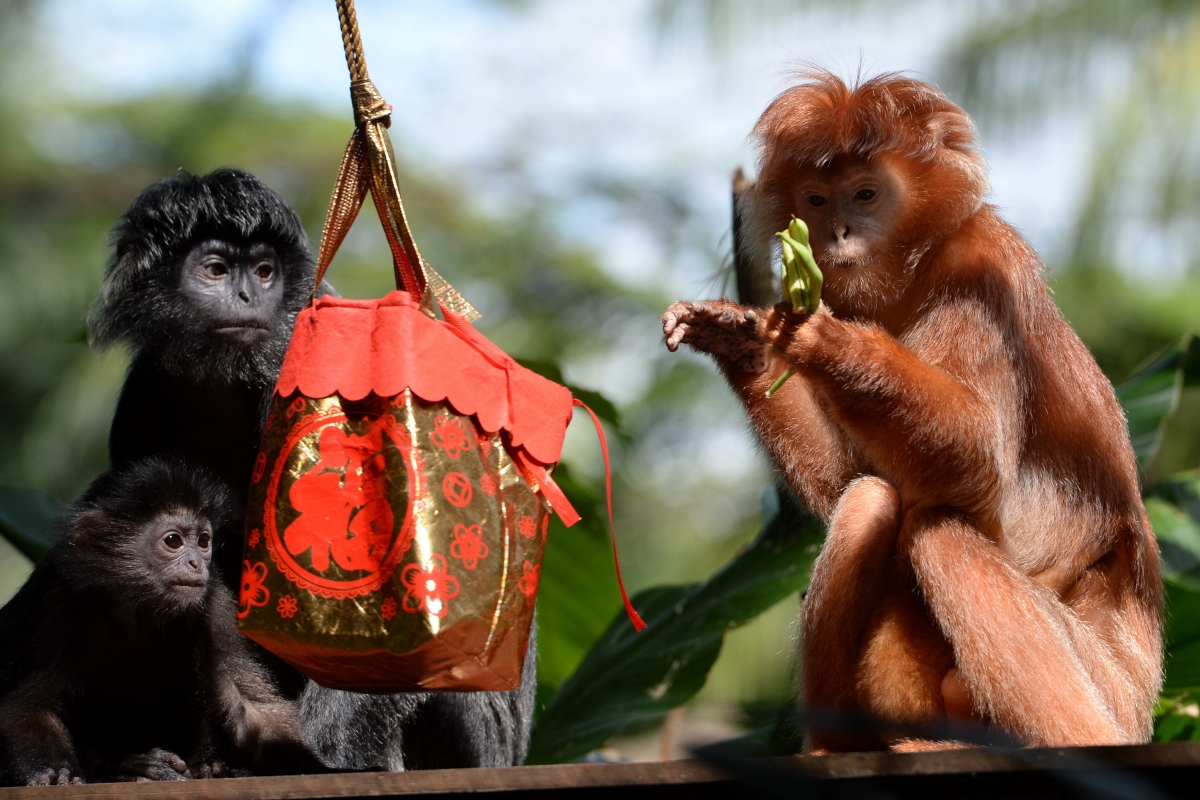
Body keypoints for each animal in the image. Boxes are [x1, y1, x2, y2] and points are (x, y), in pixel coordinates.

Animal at [0, 457, 330, 785]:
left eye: (203, 541)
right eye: (173, 540)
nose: (197, 563)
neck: (137, 605)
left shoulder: (215, 604)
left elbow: (249, 709)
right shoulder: (54, 600)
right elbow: (27, 703)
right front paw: (57, 772)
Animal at [662, 71, 1162, 751]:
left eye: (866, 194)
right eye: (817, 201)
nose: (837, 235)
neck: (911, 272)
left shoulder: (981, 268)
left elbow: (980, 460)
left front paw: (826, 340)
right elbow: (847, 480)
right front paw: (738, 339)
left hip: (1106, 689)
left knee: (940, 535)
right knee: (871, 500)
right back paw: (835, 744)